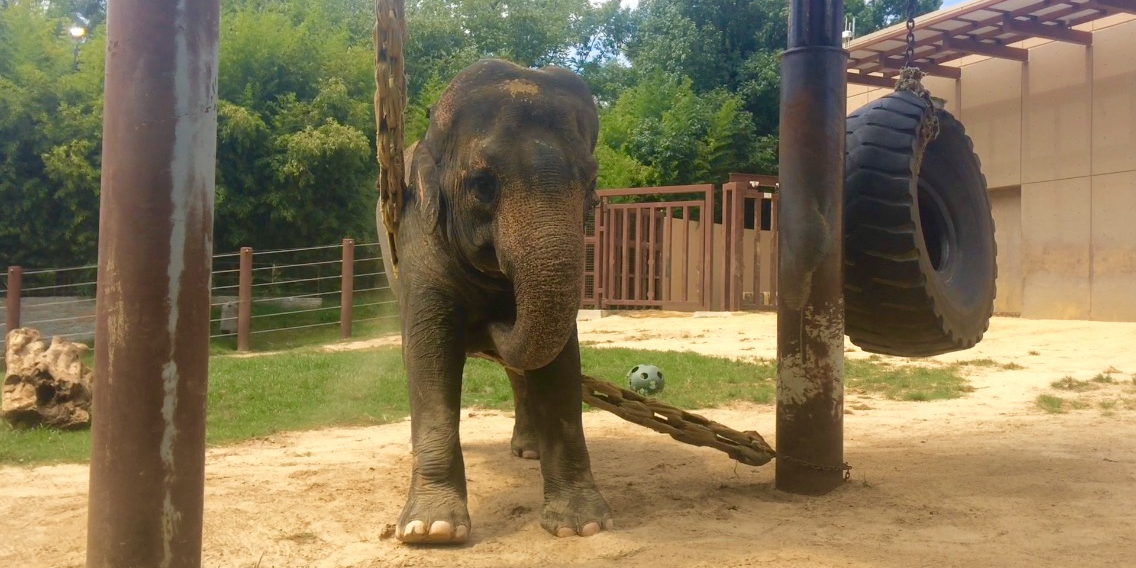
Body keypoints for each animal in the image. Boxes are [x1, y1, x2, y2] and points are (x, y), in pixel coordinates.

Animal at [377, 58, 613, 545]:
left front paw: (583, 525)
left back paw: (528, 451)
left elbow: (561, 361)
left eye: (592, 183)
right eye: (483, 184)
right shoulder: (418, 236)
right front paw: (432, 531)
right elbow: (428, 352)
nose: (491, 321)